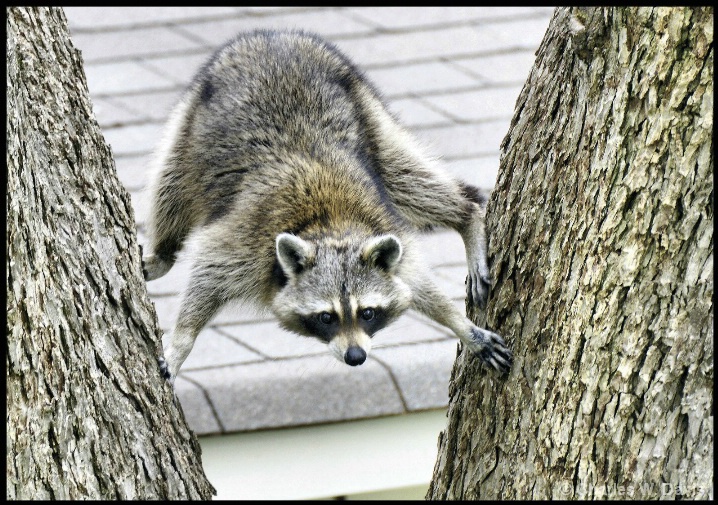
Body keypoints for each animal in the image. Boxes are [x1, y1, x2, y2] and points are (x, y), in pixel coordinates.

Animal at [142, 28, 512, 382]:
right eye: (326, 317)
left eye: (367, 313)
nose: (356, 357)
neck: (329, 226)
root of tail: (274, 37)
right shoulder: (243, 242)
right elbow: (206, 276)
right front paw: (181, 343)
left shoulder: (382, 230)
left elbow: (418, 284)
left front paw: (460, 325)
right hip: (189, 125)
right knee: (169, 189)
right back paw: (163, 252)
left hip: (367, 112)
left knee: (408, 179)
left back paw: (466, 212)